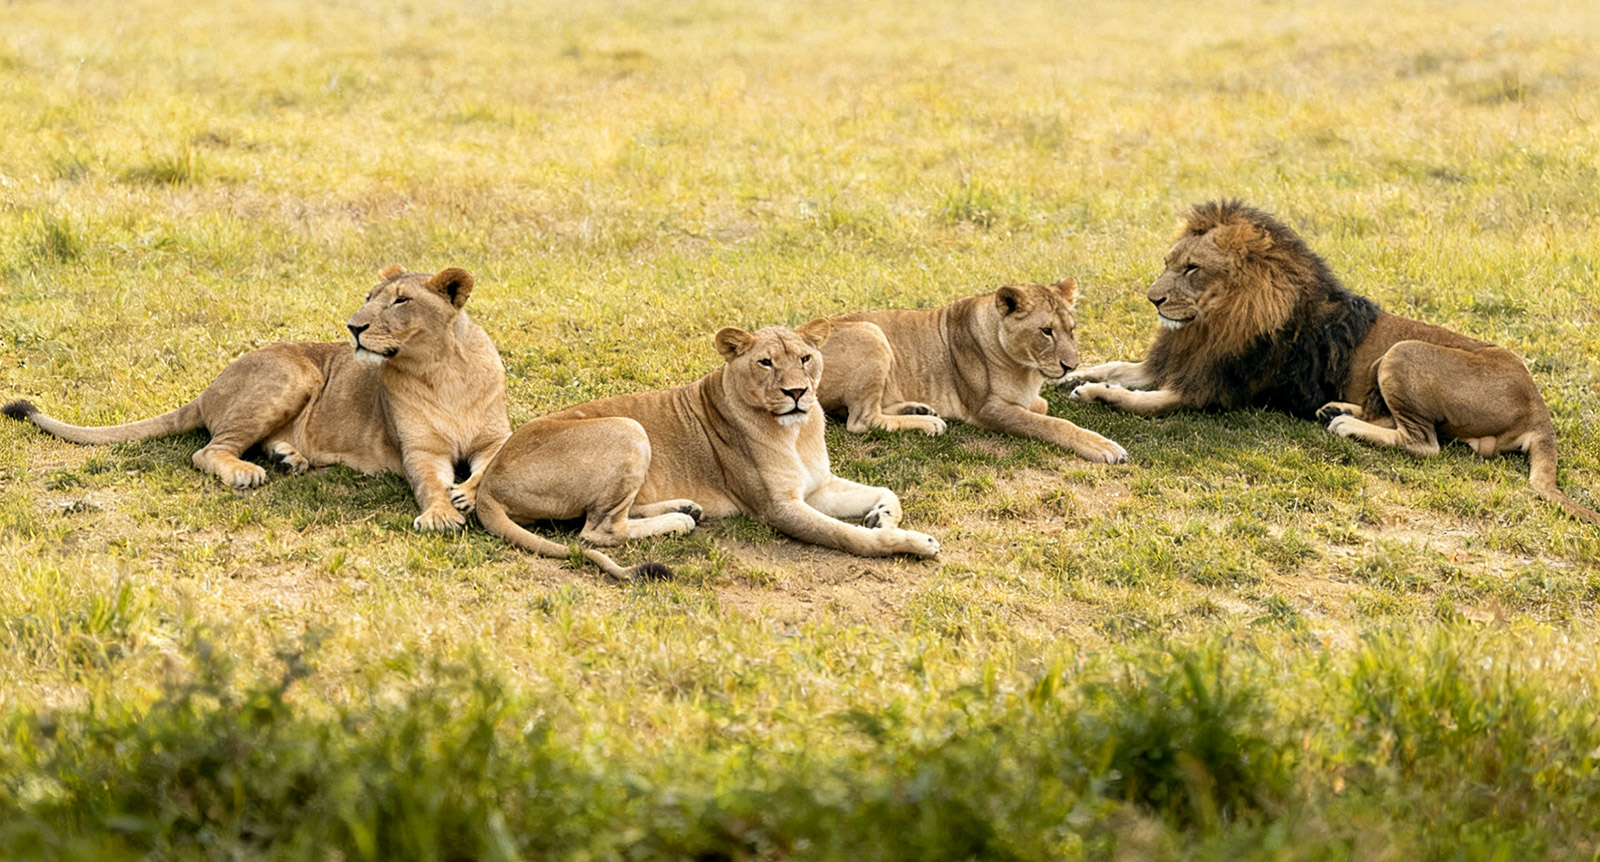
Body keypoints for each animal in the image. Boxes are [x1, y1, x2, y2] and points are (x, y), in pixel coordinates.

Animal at [4, 265, 512, 532]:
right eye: (369, 296)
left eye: (401, 301)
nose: (353, 327)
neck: (441, 371)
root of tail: (207, 388)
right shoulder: (419, 450)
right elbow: (429, 482)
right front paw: (441, 513)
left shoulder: (493, 439)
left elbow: (490, 466)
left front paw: (467, 492)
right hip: (292, 373)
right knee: (208, 451)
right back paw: (246, 472)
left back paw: (288, 457)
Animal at [467, 322, 942, 580]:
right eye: (766, 362)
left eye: (805, 358)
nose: (797, 393)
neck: (796, 432)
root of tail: (487, 482)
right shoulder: (778, 508)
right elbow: (849, 537)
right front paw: (912, 542)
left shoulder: (817, 488)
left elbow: (887, 492)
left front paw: (881, 516)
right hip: (629, 428)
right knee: (597, 531)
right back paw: (679, 520)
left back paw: (685, 508)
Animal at [814, 278, 1127, 463]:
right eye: (1046, 331)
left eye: (1071, 330)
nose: (1071, 366)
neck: (1027, 369)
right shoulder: (987, 409)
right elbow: (1053, 424)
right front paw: (1105, 447)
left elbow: (1042, 406)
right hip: (871, 332)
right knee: (860, 420)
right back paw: (929, 423)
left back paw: (919, 409)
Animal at [1066, 199, 1599, 525]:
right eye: (1167, 263)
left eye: (1192, 269)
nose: (1152, 299)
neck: (1212, 321)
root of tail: (1539, 409)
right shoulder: (1175, 361)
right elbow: (1119, 366)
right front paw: (1082, 372)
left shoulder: (1206, 392)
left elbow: (1137, 401)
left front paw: (1094, 393)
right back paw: (1338, 410)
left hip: (1403, 352)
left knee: (1423, 443)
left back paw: (1345, 424)